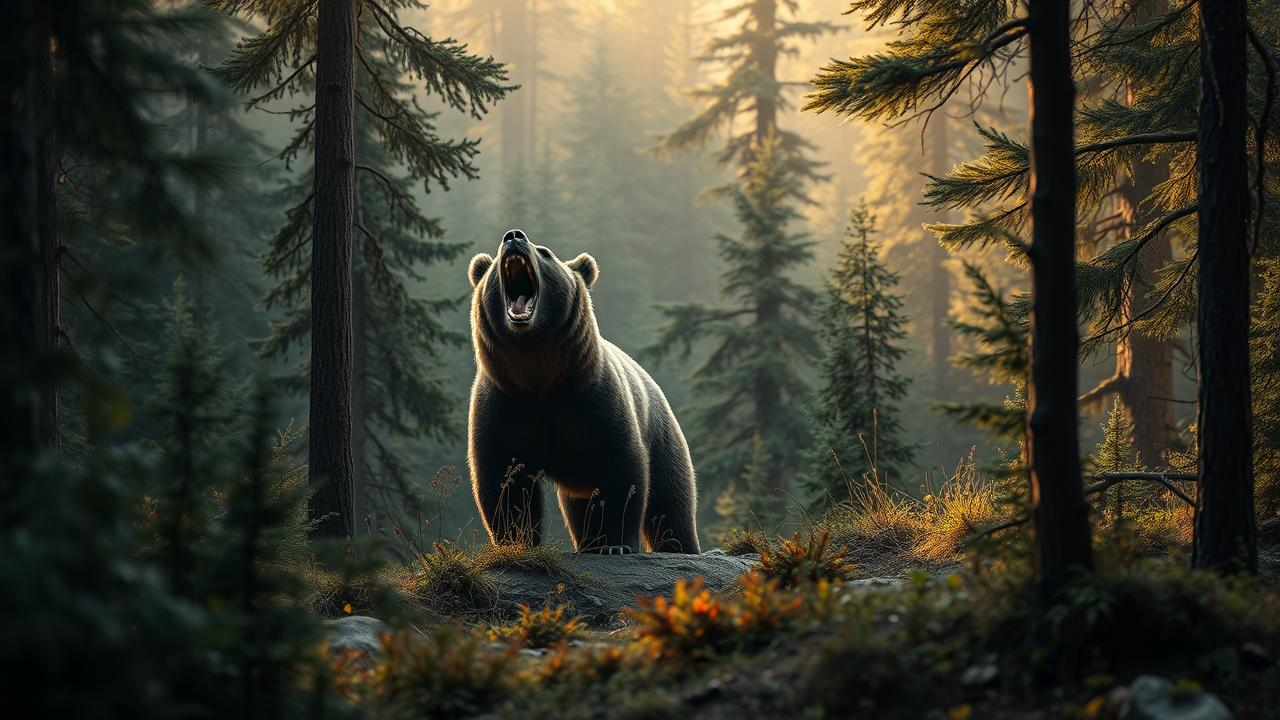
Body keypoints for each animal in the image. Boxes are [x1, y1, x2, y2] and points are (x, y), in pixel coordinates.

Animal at [466, 229, 700, 555]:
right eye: (496, 255)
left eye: (545, 252)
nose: (513, 236)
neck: (539, 374)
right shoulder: (505, 403)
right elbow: (504, 478)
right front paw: (516, 543)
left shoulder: (592, 400)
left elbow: (621, 470)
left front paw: (616, 544)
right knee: (582, 508)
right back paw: (589, 542)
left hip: (663, 438)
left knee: (671, 503)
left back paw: (678, 546)